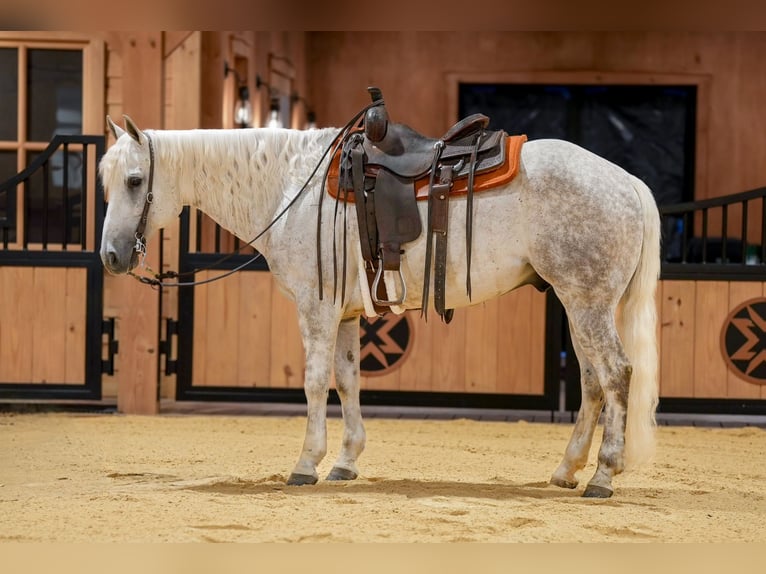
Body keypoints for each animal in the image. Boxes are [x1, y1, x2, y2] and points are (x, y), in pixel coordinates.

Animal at [99, 113, 660, 498]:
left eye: (134, 180)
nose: (110, 256)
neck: (291, 187)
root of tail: (626, 181)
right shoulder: (346, 314)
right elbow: (348, 380)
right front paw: (346, 462)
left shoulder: (317, 309)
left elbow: (314, 382)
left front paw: (307, 463)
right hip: (577, 304)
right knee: (591, 381)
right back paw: (567, 470)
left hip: (587, 304)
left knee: (616, 373)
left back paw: (604, 474)